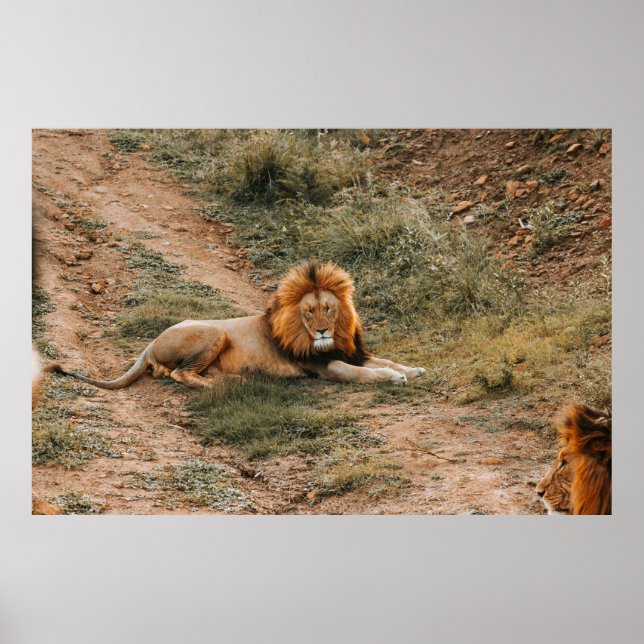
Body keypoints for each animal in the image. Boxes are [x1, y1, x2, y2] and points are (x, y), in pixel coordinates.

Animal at [50, 260, 426, 389]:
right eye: (308, 312)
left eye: (329, 309)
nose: (321, 331)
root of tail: (150, 341)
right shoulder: (325, 367)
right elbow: (364, 374)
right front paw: (394, 378)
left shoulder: (352, 352)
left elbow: (384, 360)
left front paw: (413, 369)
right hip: (215, 331)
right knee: (178, 375)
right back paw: (227, 384)